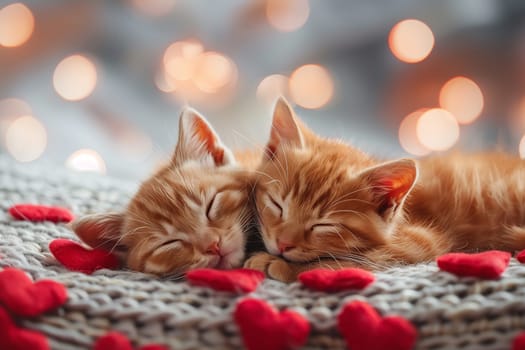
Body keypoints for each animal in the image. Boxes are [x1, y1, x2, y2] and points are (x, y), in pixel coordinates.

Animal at [244, 98, 524, 282]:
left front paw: (280, 265)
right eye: (277, 204)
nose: (282, 245)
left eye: (324, 225)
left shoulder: (426, 241)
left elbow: (357, 259)